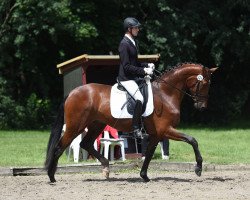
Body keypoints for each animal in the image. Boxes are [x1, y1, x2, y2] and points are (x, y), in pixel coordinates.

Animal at [44, 63, 217, 183]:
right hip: (75, 126)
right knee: (59, 147)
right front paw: (198, 168)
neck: (166, 93)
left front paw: (144, 176)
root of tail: (72, 92)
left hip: (96, 124)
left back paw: (106, 167)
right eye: (205, 83)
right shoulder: (165, 130)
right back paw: (51, 176)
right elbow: (192, 140)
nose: (202, 106)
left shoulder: (156, 134)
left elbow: (148, 154)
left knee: (85, 143)